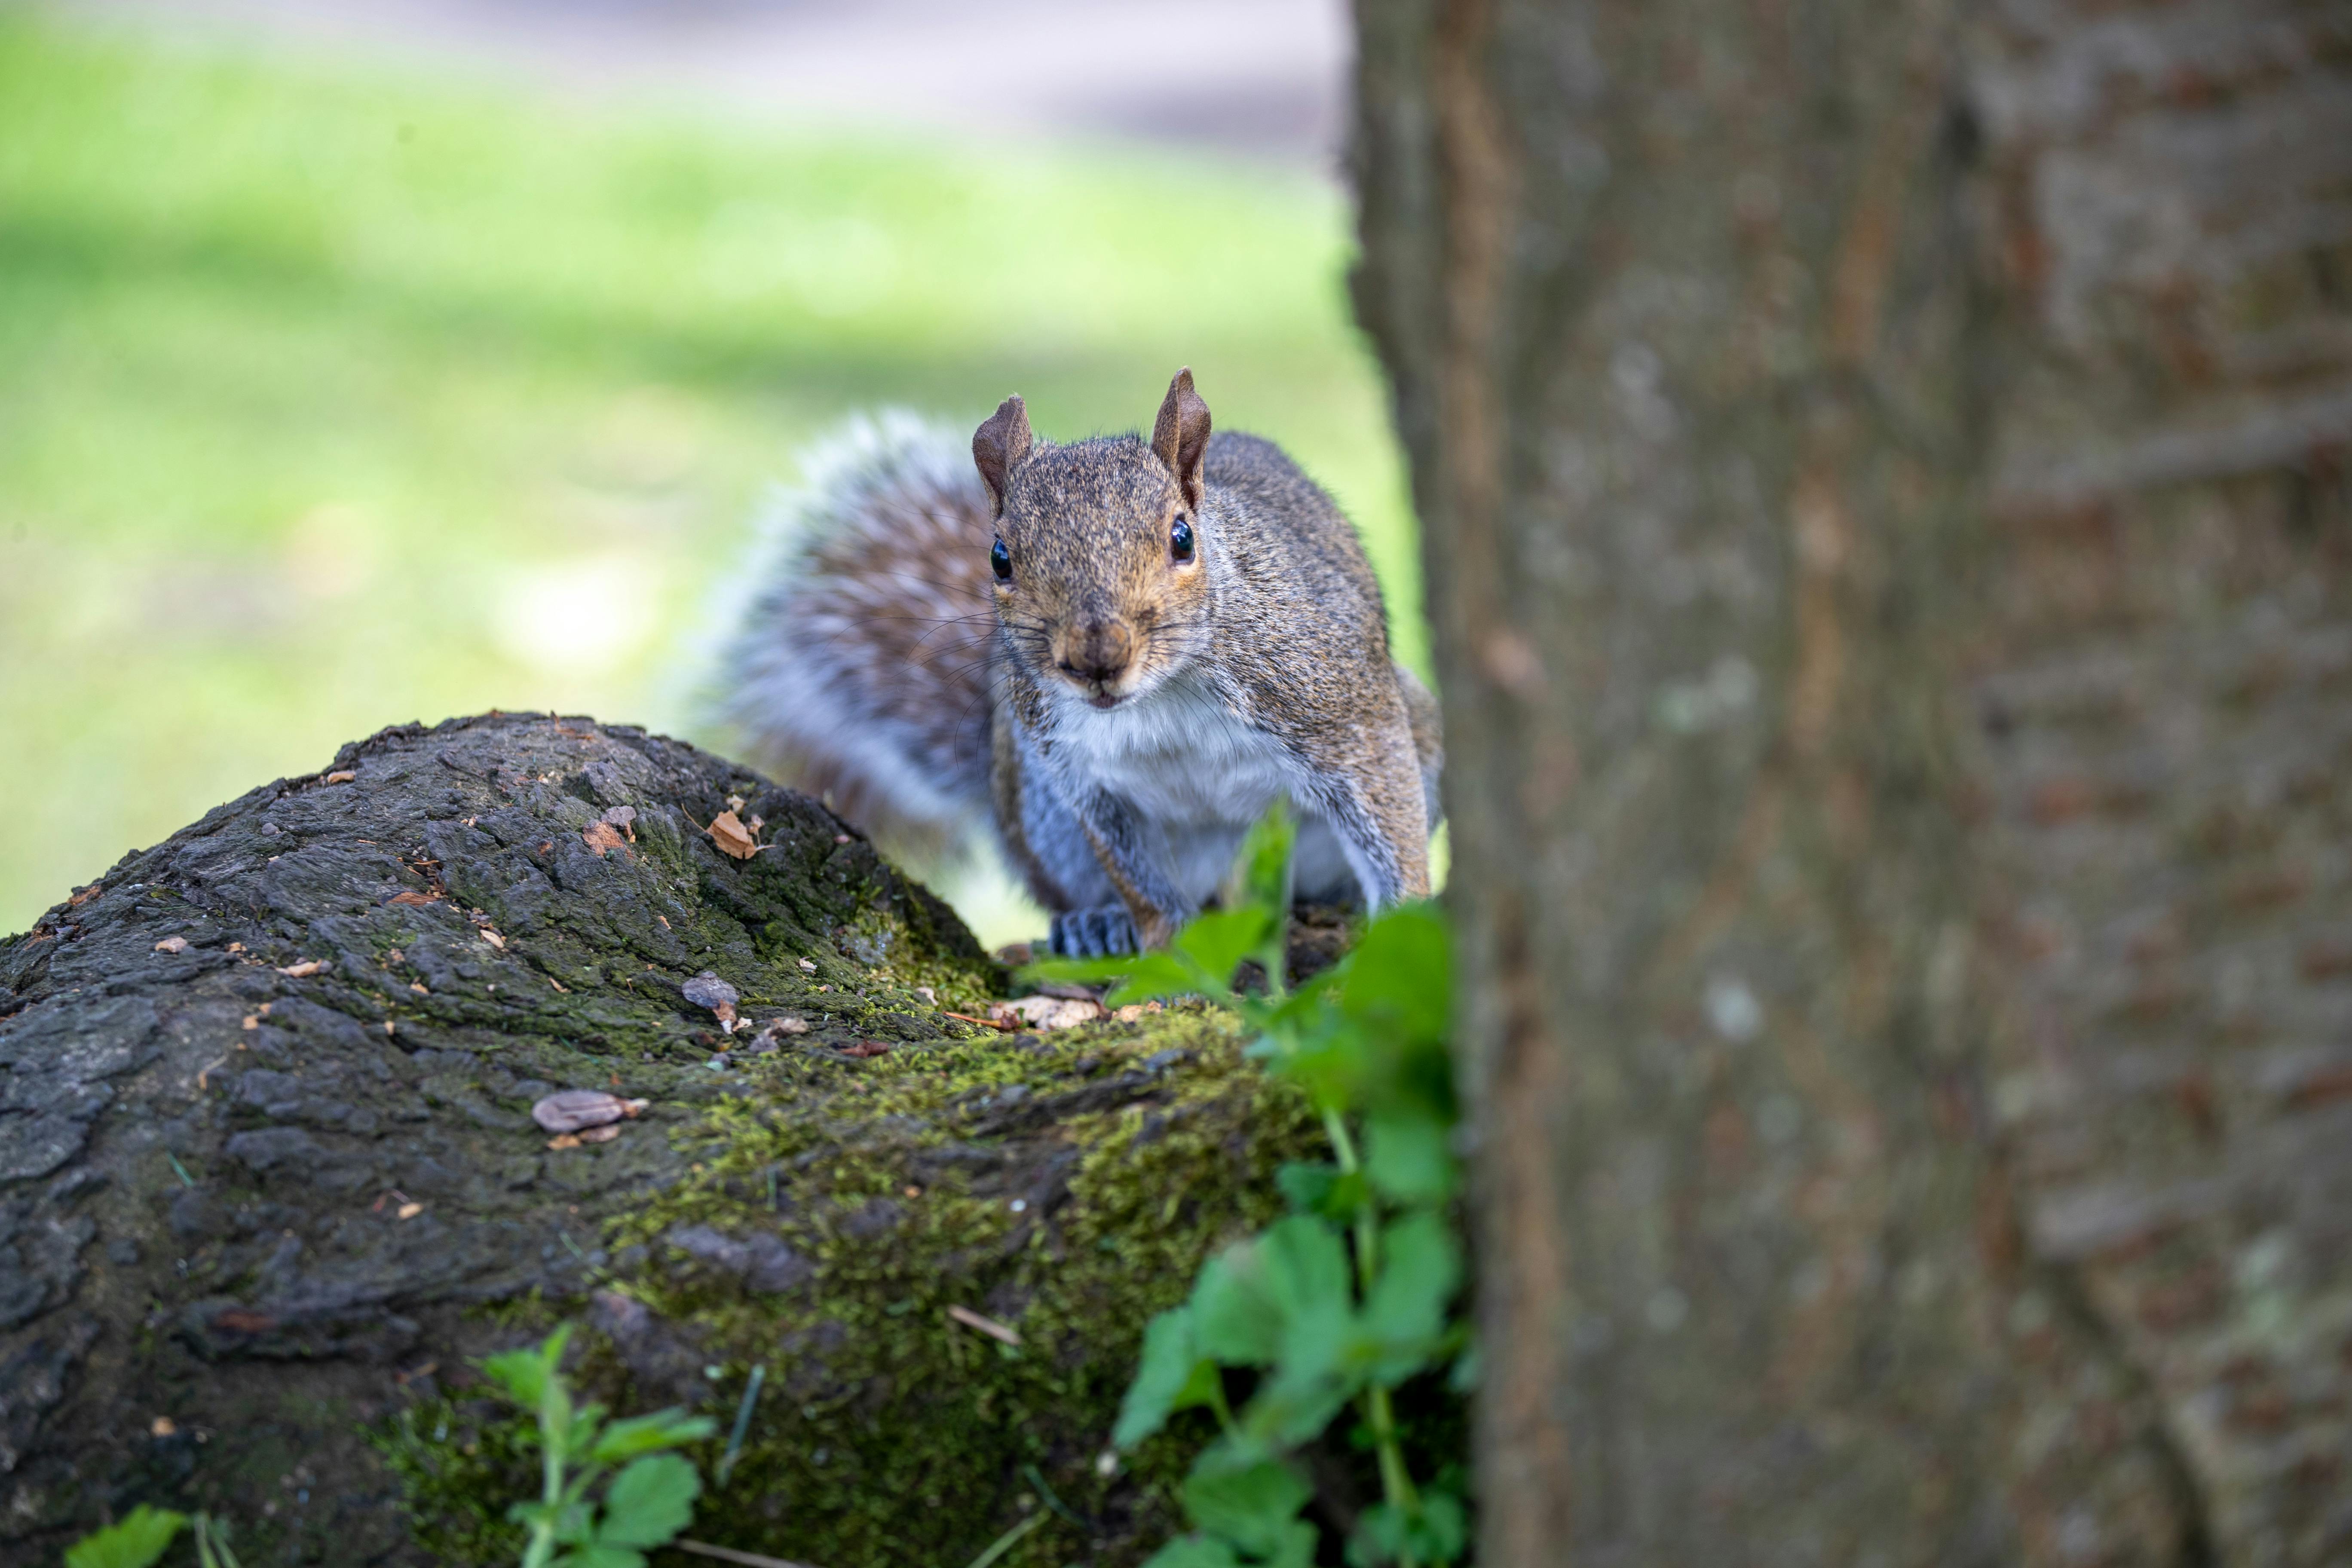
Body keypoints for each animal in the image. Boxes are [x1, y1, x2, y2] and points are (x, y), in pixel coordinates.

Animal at [715, 369, 1439, 959]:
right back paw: (1097, 924)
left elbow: (1390, 819)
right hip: (1037, 810)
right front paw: (1163, 940)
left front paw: (1404, 926)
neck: (1166, 694)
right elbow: (1135, 877)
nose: (1097, 658)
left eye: (1183, 539)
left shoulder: (1338, 706)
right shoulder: (1076, 772)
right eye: (999, 558)